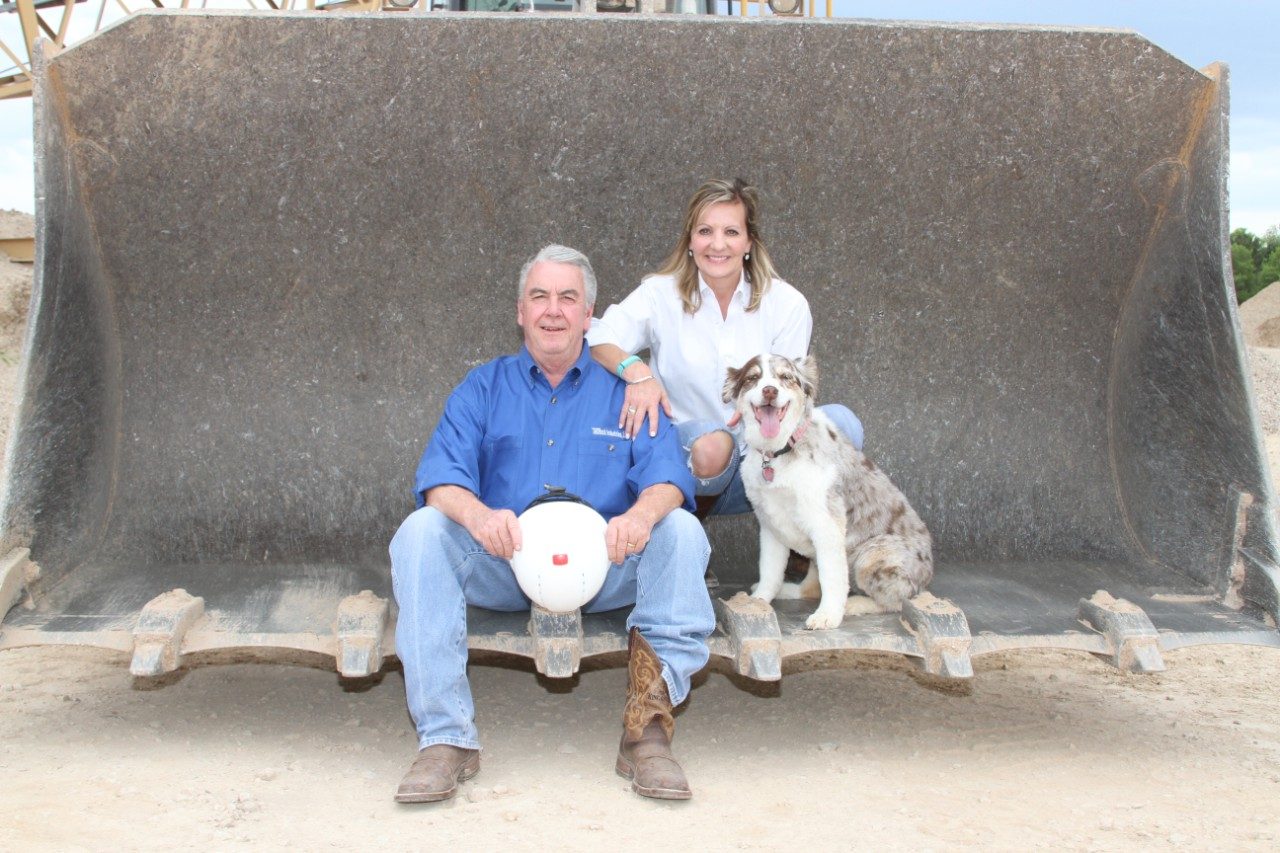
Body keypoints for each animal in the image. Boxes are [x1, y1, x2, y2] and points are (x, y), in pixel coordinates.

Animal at [722, 354, 933, 630]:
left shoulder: (828, 524)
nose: (769, 390)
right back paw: (789, 591)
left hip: (872, 556)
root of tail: (929, 571)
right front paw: (757, 602)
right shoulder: (770, 524)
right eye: (753, 378)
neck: (780, 451)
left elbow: (833, 578)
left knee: (899, 599)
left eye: (786, 377)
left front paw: (828, 616)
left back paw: (854, 605)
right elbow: (769, 570)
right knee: (812, 586)